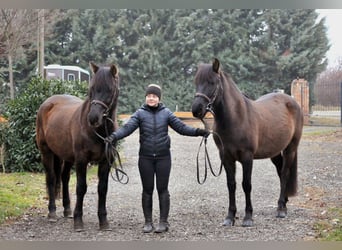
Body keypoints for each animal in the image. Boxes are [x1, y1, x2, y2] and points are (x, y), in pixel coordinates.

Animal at [35, 62, 119, 230]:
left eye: (109, 89)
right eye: (91, 89)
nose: (93, 118)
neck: (98, 132)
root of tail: (47, 103)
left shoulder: (106, 161)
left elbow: (102, 188)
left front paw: (103, 221)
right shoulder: (81, 160)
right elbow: (81, 187)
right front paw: (78, 220)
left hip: (66, 156)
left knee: (64, 178)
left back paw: (67, 210)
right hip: (46, 152)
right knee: (51, 178)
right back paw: (52, 213)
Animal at [191, 58, 304, 227]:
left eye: (212, 82)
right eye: (196, 81)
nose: (196, 109)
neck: (236, 117)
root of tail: (292, 101)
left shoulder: (247, 157)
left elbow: (246, 184)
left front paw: (248, 217)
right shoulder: (226, 157)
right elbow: (231, 185)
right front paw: (230, 217)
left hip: (291, 148)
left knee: (284, 174)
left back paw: (281, 209)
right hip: (275, 152)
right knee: (280, 172)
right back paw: (284, 202)